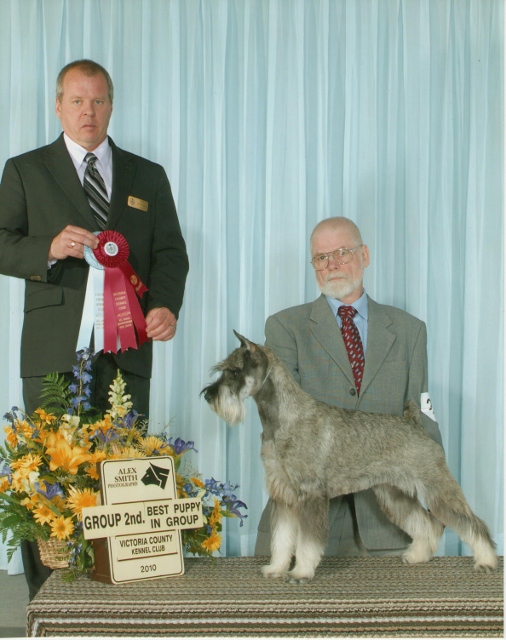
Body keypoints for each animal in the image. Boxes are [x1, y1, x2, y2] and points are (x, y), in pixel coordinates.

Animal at [202, 332, 498, 584]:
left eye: (235, 371)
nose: (208, 395)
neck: (283, 419)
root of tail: (414, 421)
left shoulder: (310, 495)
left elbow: (307, 541)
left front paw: (300, 572)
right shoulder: (284, 496)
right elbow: (282, 539)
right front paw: (276, 568)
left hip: (437, 488)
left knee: (470, 523)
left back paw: (486, 560)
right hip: (393, 494)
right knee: (425, 523)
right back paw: (418, 555)